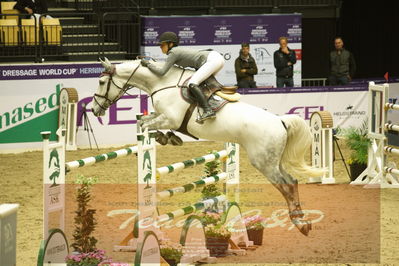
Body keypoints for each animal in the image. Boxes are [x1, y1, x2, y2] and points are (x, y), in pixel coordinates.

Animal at [93, 57, 324, 235]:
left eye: (102, 81)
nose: (95, 110)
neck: (162, 83)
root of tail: (280, 121)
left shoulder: (170, 118)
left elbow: (144, 125)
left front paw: (162, 137)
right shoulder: (164, 118)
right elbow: (147, 122)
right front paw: (168, 138)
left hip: (264, 162)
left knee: (285, 185)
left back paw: (299, 223)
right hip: (275, 160)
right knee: (292, 181)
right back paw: (302, 220)